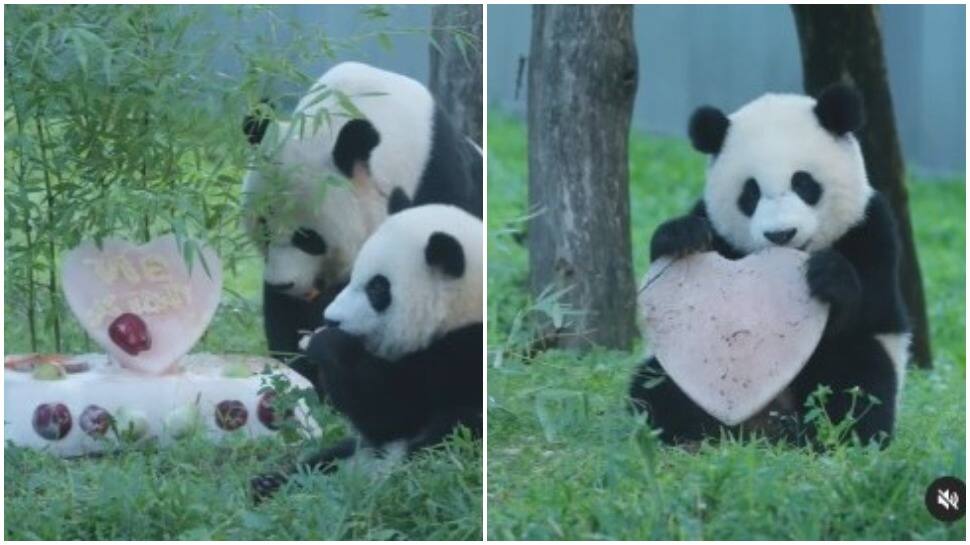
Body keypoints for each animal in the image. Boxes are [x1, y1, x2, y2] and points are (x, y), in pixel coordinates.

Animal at [248, 202, 478, 500]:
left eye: (377, 287)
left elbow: (390, 410)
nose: (331, 319)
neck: (457, 313)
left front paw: (325, 342)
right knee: (326, 459)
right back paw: (272, 484)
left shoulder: (459, 356)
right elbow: (380, 421)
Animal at [628, 83, 908, 444]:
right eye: (750, 193)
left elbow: (876, 305)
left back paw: (830, 435)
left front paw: (828, 275)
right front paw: (680, 235)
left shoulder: (871, 225)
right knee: (655, 388)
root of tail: (766, 423)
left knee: (858, 373)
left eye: (803, 183)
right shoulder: (717, 226)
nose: (781, 234)